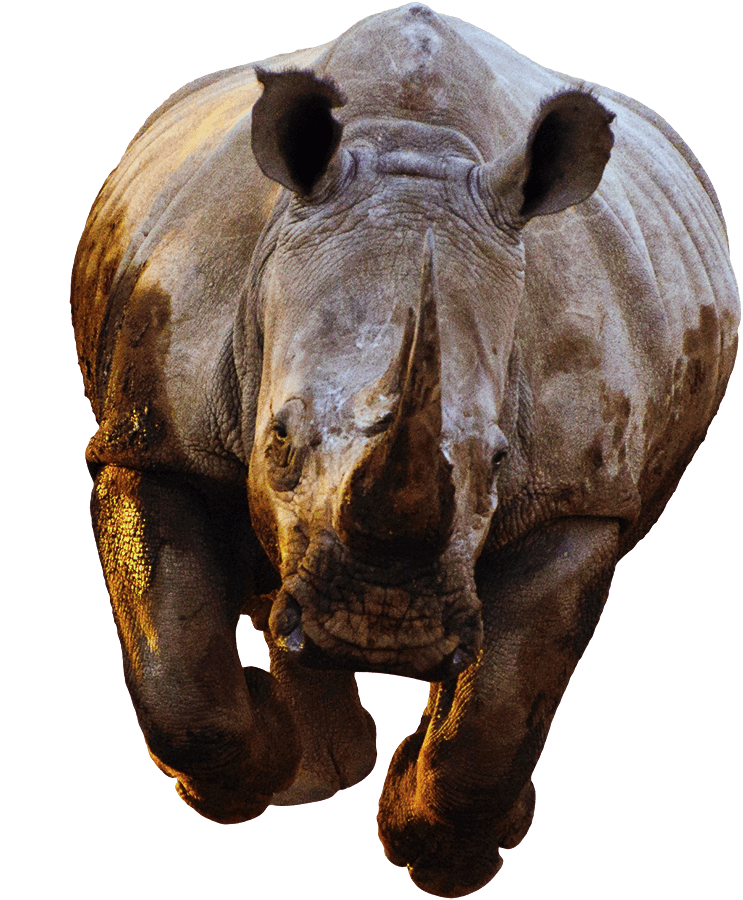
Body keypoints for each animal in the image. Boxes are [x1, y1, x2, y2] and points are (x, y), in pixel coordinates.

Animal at [71, 4, 739, 896]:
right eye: (277, 441)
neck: (411, 148)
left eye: (498, 461)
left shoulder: (580, 495)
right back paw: (315, 771)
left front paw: (444, 852)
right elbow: (178, 682)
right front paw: (247, 774)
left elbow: (500, 711)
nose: (380, 628)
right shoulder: (151, 434)